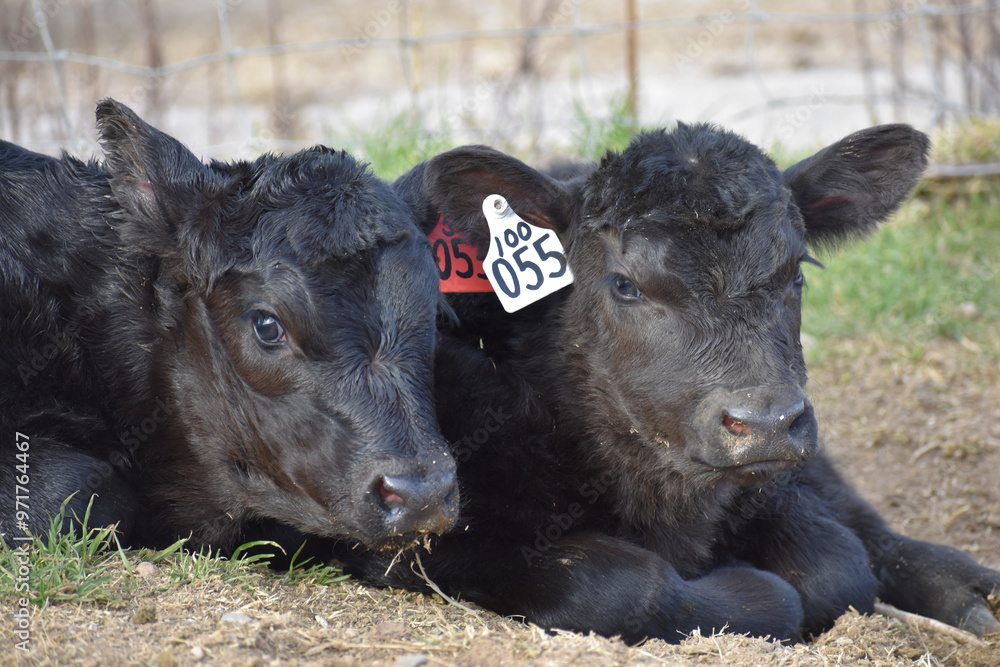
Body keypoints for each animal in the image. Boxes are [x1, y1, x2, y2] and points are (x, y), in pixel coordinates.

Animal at [343, 122, 1000, 643]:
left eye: (796, 274)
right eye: (624, 284)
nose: (764, 424)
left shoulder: (768, 484)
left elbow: (835, 566)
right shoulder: (423, 535)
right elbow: (628, 584)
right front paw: (750, 595)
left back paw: (972, 588)